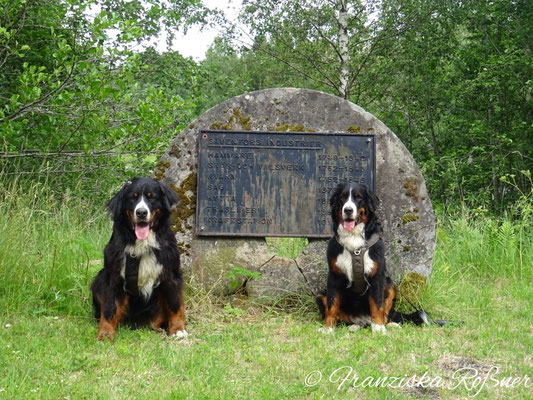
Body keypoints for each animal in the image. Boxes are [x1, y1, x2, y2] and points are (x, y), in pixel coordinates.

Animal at [92, 178, 188, 340]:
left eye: (151, 197)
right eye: (133, 197)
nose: (141, 212)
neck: (142, 243)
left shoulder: (171, 274)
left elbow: (175, 304)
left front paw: (177, 329)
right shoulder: (113, 276)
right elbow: (109, 308)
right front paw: (105, 333)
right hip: (99, 277)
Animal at [316, 184, 424, 334]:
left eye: (358, 197)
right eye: (342, 197)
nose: (348, 210)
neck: (353, 239)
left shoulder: (377, 277)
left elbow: (377, 305)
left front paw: (378, 328)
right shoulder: (334, 276)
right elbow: (332, 306)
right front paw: (327, 328)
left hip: (390, 285)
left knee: (386, 315)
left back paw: (389, 324)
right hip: (320, 296)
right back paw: (354, 326)